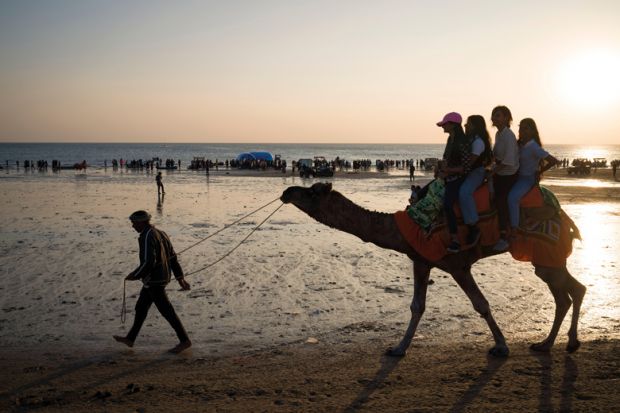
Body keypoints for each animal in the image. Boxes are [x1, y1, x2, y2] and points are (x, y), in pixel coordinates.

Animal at [280, 182, 588, 356]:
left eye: (312, 192)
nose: (286, 191)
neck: (406, 227)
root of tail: (566, 218)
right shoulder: (421, 259)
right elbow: (417, 305)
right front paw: (398, 349)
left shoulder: (457, 264)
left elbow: (481, 304)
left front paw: (501, 346)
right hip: (547, 261)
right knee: (570, 292)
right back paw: (551, 344)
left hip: (547, 255)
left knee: (570, 291)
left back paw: (561, 342)